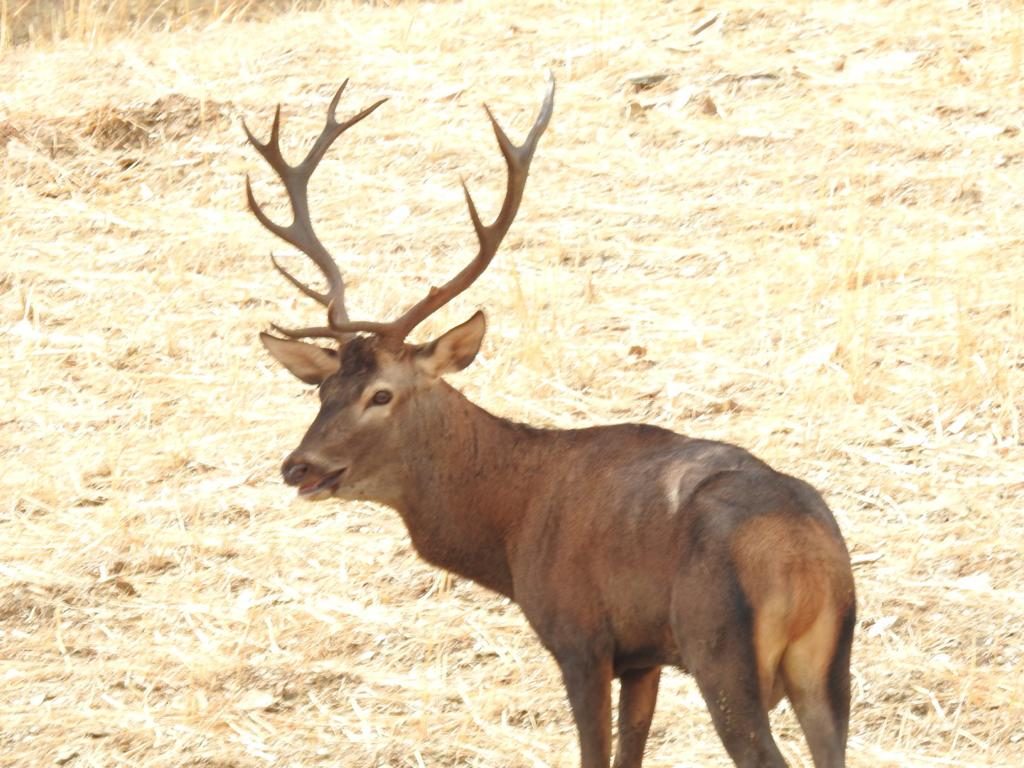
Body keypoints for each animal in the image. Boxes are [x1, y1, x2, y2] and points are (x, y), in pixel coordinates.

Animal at [242, 76, 856, 768]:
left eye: (381, 395)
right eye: (323, 389)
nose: (299, 466)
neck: (510, 523)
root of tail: (806, 557)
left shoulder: (581, 637)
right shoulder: (643, 656)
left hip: (720, 650)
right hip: (829, 666)